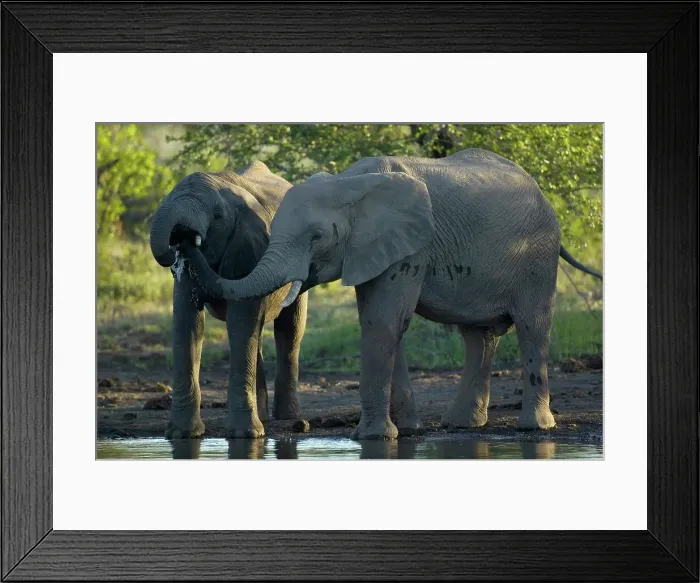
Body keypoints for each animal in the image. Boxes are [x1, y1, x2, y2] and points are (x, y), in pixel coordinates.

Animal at [149, 161, 307, 439]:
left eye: (217, 215)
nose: (182, 240)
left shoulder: (248, 247)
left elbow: (240, 319)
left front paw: (245, 435)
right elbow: (188, 323)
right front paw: (182, 435)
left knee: (289, 330)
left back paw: (287, 417)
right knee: (256, 335)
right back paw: (264, 418)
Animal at [177, 149, 602, 440]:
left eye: (317, 238)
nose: (184, 237)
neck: (349, 183)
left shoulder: (410, 247)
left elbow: (383, 322)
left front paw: (372, 437)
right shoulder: (371, 249)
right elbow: (382, 322)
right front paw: (406, 432)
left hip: (537, 256)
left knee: (533, 328)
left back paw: (535, 428)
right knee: (478, 336)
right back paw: (461, 424)